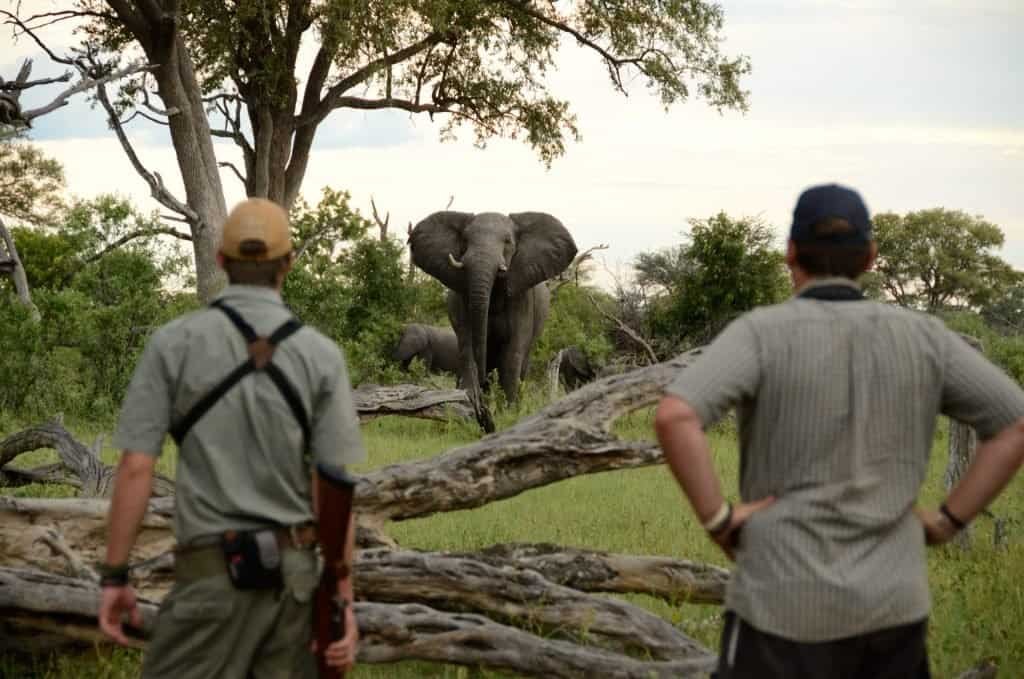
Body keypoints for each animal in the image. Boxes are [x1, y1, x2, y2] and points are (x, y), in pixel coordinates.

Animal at [411, 209, 581, 430]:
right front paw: (469, 409)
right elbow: (468, 349)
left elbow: (512, 355)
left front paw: (507, 415)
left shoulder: (521, 298)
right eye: (465, 240)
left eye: (508, 242)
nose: (484, 413)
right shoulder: (463, 298)